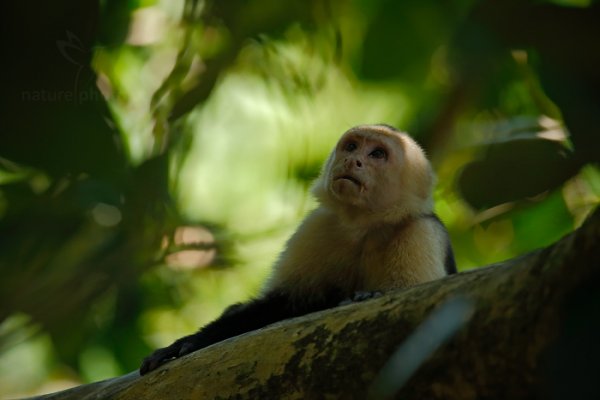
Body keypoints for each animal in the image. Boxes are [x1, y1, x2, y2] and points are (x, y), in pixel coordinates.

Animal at [139, 124, 454, 376]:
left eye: (377, 154)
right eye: (352, 146)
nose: (352, 160)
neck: (364, 226)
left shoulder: (422, 233)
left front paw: (364, 297)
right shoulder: (319, 226)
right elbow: (284, 303)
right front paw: (187, 343)